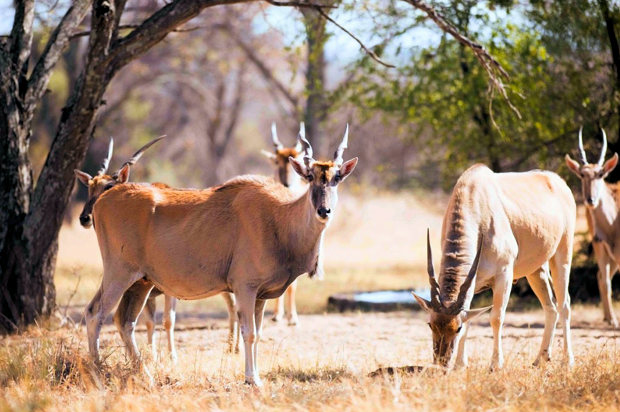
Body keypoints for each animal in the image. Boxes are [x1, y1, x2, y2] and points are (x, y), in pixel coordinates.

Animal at [84, 126, 356, 386]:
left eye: (336, 178)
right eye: (310, 177)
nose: (324, 211)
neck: (278, 218)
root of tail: (101, 201)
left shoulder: (261, 295)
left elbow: (258, 333)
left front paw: (254, 375)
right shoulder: (245, 287)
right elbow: (249, 333)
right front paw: (252, 379)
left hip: (141, 282)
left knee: (124, 321)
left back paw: (146, 376)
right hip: (119, 274)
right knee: (95, 313)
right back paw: (97, 372)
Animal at [412, 164, 576, 370]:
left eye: (457, 328)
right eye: (431, 325)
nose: (441, 362)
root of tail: (558, 182)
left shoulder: (504, 274)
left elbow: (496, 317)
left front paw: (496, 364)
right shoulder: (474, 281)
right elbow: (470, 317)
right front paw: (460, 364)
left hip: (562, 255)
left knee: (564, 304)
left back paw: (567, 361)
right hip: (536, 270)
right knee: (550, 307)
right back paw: (540, 359)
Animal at [564, 127, 616, 326]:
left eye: (600, 174)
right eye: (582, 174)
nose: (590, 200)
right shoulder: (600, 246)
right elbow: (606, 282)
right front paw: (612, 320)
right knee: (602, 277)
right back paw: (608, 317)